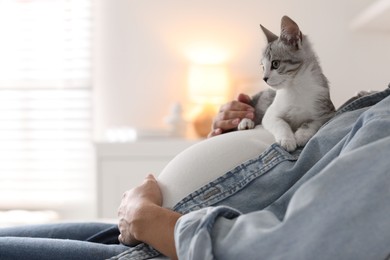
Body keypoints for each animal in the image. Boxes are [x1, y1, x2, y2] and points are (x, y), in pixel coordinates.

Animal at [238, 15, 336, 151]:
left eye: (275, 64)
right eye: (263, 67)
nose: (264, 78)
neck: (296, 87)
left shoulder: (327, 111)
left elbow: (314, 122)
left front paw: (301, 135)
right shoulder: (270, 114)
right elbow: (280, 122)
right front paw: (287, 139)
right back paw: (246, 122)